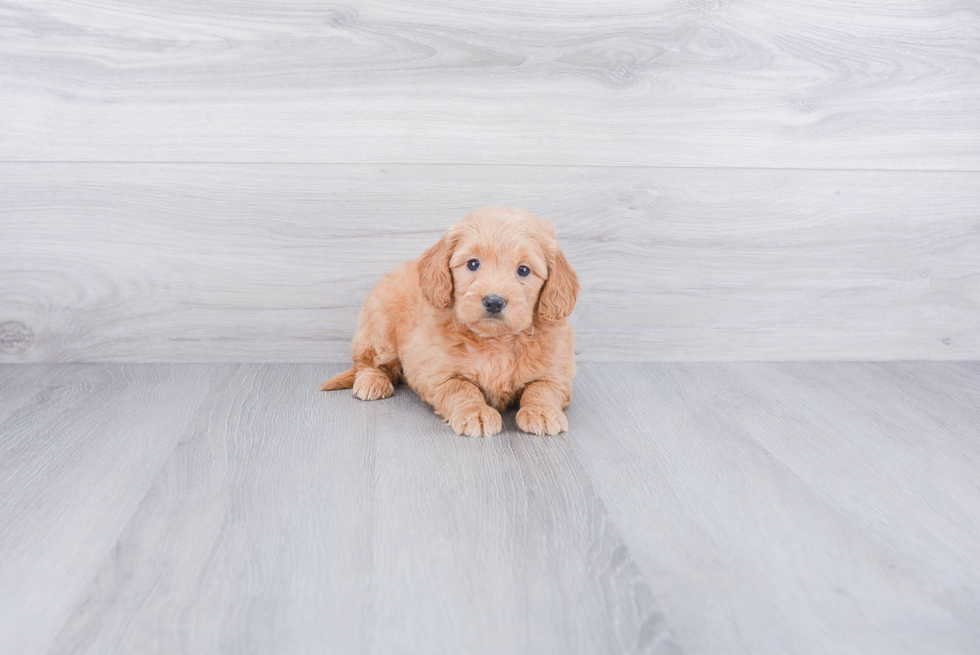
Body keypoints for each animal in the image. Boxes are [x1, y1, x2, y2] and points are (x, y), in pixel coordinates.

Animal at [322, 208, 580, 438]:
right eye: (473, 264)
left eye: (524, 270)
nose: (494, 301)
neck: (495, 340)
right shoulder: (438, 372)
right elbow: (462, 388)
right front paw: (476, 413)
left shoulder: (557, 373)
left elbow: (541, 388)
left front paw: (542, 412)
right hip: (379, 327)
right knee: (368, 362)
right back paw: (372, 381)